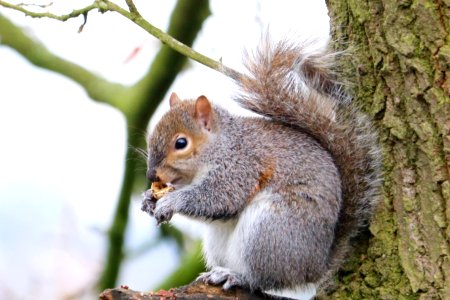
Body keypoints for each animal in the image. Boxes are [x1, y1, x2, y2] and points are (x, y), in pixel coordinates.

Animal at [142, 40, 382, 298]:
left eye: (181, 143)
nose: (151, 175)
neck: (219, 145)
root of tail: (315, 267)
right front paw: (149, 199)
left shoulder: (241, 167)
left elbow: (219, 197)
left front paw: (171, 201)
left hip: (269, 232)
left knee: (262, 279)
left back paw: (236, 276)